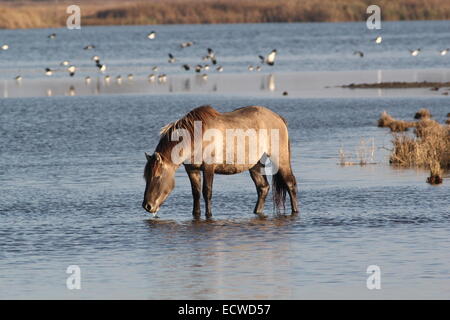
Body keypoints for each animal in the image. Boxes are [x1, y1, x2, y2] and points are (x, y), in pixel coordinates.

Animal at [143, 105, 298, 218]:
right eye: (146, 177)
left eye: (157, 176)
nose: (147, 206)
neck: (195, 137)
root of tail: (279, 118)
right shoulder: (192, 169)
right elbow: (196, 193)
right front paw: (196, 214)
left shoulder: (209, 167)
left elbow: (207, 192)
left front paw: (209, 215)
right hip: (255, 165)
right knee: (263, 188)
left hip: (280, 159)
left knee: (290, 184)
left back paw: (295, 211)